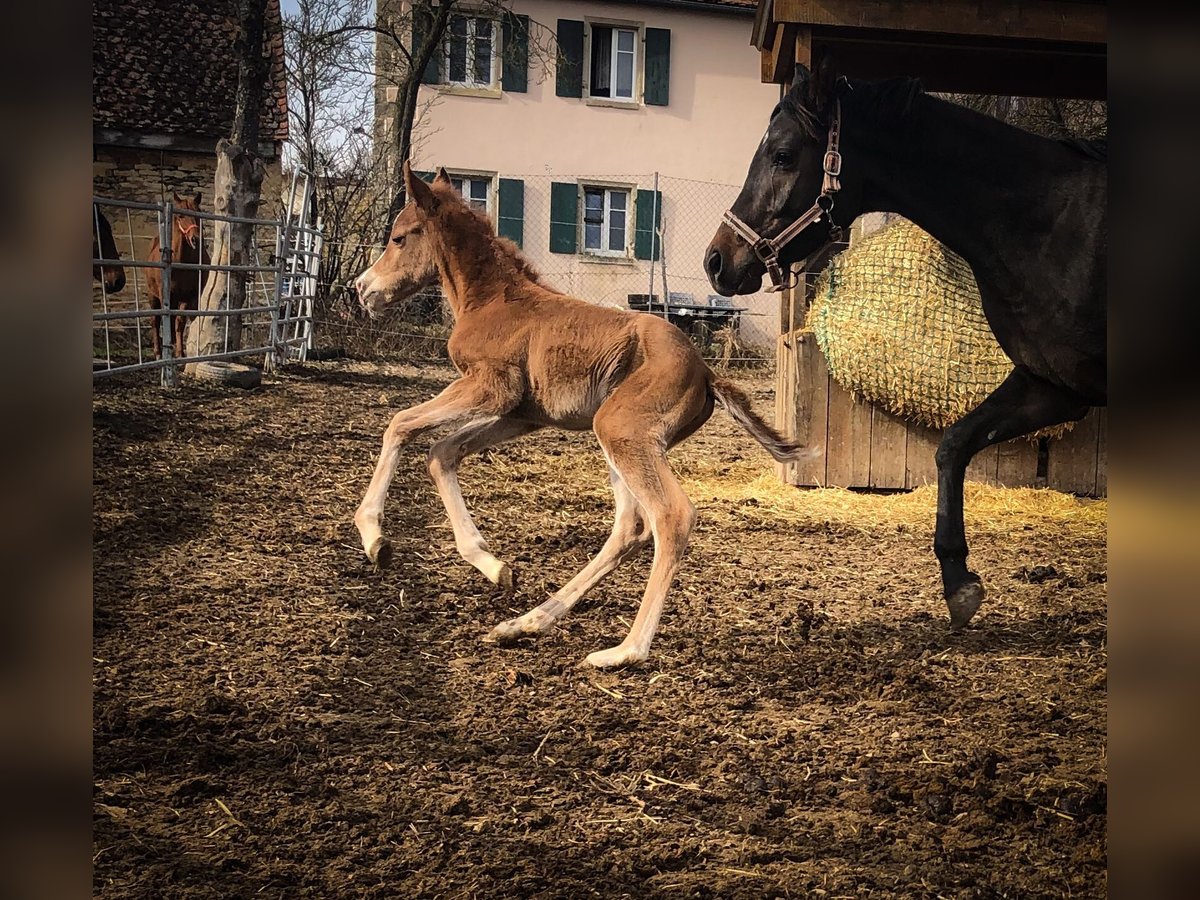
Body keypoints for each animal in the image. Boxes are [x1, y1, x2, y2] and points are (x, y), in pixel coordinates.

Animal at [145, 192, 210, 362]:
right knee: (155, 321)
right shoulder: (166, 295)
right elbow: (166, 321)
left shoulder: (190, 297)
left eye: (198, 214)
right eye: (181, 216)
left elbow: (180, 322)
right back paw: (158, 352)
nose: (196, 239)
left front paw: (180, 353)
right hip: (153, 296)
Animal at [700, 61, 1104, 633]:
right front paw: (958, 582)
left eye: (782, 154)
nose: (716, 260)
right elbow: (954, 444)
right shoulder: (1053, 385)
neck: (1050, 223)